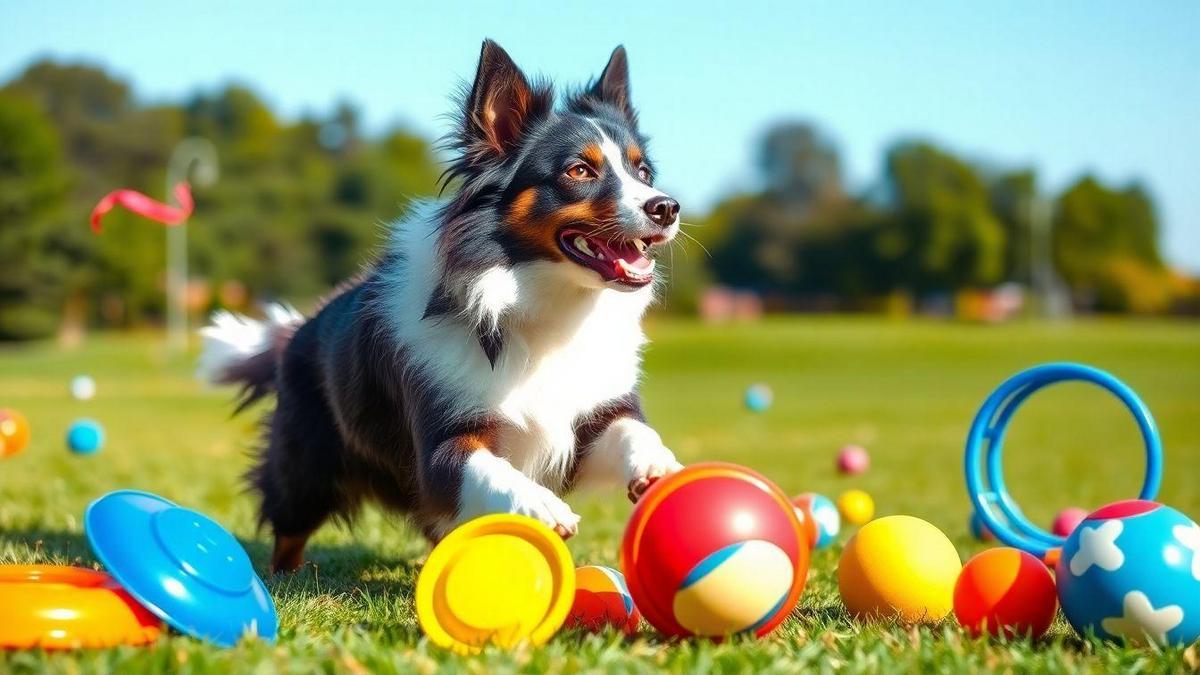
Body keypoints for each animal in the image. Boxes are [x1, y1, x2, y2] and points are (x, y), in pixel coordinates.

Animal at [199, 39, 686, 569]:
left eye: (643, 172)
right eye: (579, 170)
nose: (666, 207)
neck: (543, 302)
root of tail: (298, 329)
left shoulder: (591, 414)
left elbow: (632, 429)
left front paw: (660, 464)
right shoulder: (441, 443)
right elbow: (492, 469)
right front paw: (541, 505)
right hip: (305, 463)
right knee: (288, 525)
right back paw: (284, 576)